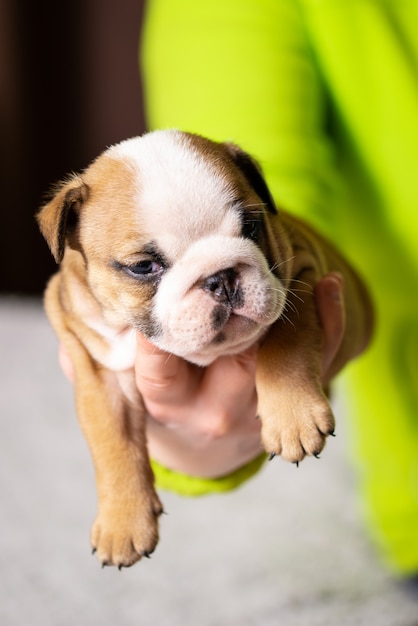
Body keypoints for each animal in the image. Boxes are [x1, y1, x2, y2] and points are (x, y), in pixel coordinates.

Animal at [37, 129, 374, 568]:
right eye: (143, 267)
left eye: (252, 226)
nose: (220, 277)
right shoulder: (96, 366)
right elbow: (111, 440)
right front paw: (122, 523)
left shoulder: (302, 276)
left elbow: (285, 341)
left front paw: (293, 417)